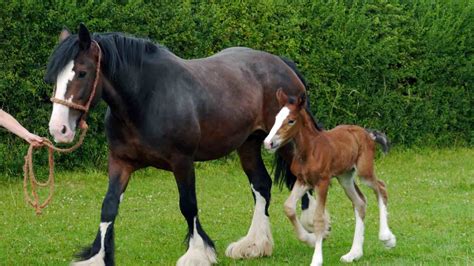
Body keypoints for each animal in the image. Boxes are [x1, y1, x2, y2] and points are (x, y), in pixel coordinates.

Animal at [45, 23, 308, 264]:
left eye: (82, 72)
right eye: (55, 76)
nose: (59, 129)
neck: (146, 98)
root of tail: (283, 65)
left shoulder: (182, 161)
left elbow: (188, 204)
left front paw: (197, 254)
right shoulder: (121, 161)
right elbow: (109, 205)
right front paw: (97, 257)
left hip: (286, 142)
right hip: (249, 144)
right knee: (261, 185)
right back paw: (255, 244)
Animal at [262, 89, 396, 264]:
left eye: (291, 121)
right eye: (276, 118)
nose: (268, 143)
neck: (309, 150)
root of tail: (368, 133)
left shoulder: (322, 182)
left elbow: (319, 219)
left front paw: (317, 259)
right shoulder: (303, 181)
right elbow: (289, 207)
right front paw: (309, 239)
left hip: (364, 171)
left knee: (381, 187)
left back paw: (387, 238)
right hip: (345, 177)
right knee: (360, 202)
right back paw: (353, 253)